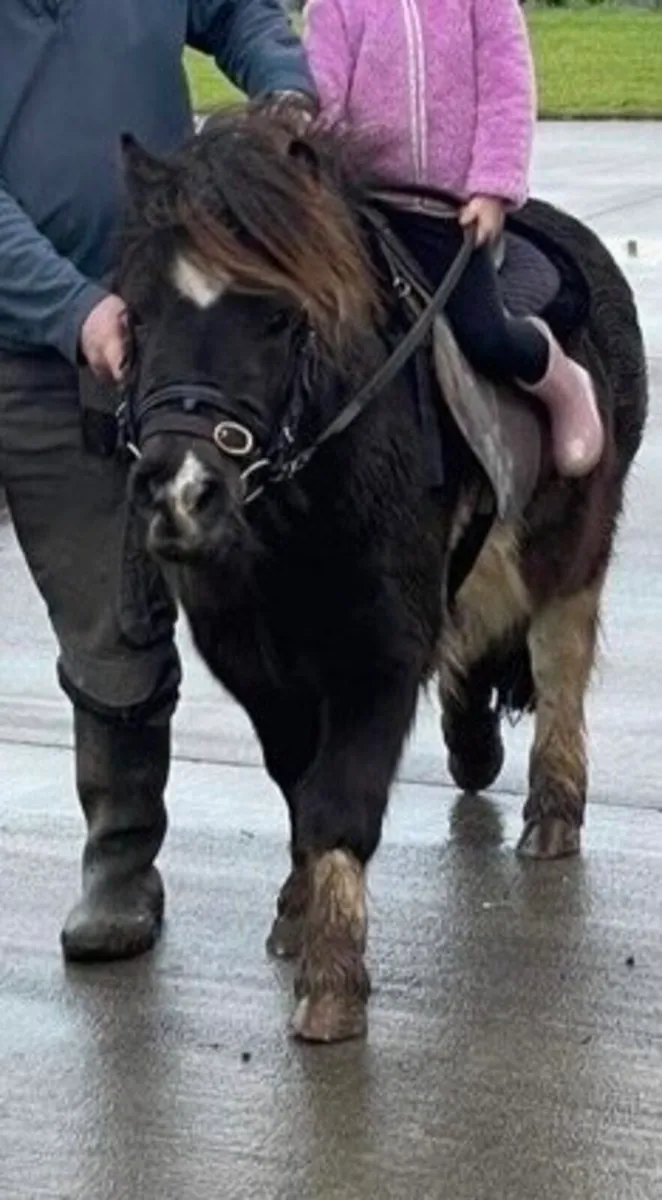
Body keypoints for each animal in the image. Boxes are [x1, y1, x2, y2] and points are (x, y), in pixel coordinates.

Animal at [116, 106, 647, 1043]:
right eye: (140, 315)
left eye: (281, 320)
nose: (181, 494)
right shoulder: (252, 658)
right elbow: (297, 783)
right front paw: (298, 914)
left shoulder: (380, 651)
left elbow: (341, 797)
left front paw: (332, 979)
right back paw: (473, 747)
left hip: (573, 548)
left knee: (559, 667)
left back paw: (552, 813)